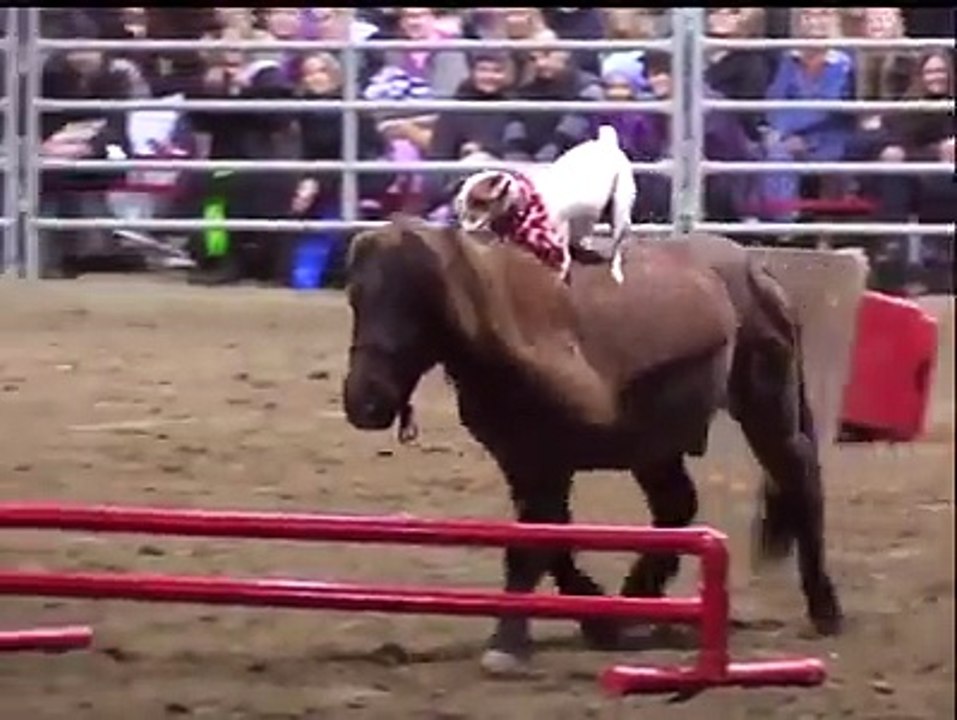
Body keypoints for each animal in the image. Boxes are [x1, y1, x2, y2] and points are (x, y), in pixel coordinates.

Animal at [341, 214, 843, 675]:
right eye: (356, 297)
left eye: (419, 303)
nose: (364, 401)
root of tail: (757, 269)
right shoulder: (522, 464)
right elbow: (552, 540)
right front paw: (598, 618)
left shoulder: (548, 463)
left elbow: (531, 547)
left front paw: (508, 640)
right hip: (653, 445)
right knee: (676, 506)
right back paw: (636, 599)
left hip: (765, 412)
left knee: (799, 477)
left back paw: (824, 607)